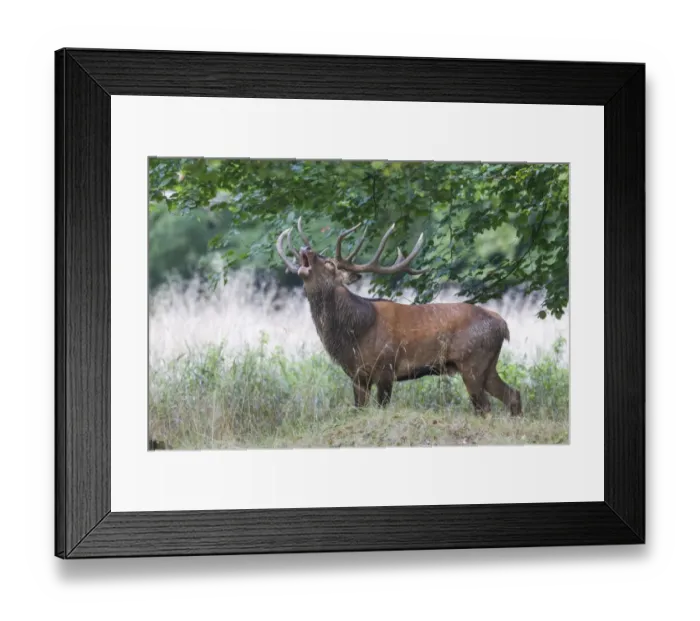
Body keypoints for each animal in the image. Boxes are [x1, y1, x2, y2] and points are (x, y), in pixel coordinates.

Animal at [275, 217, 523, 417]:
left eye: (329, 264)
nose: (306, 248)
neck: (354, 333)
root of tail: (503, 325)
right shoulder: (357, 375)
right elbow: (359, 410)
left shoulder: (387, 366)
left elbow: (381, 407)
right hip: (488, 365)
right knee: (513, 394)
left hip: (472, 362)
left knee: (485, 407)